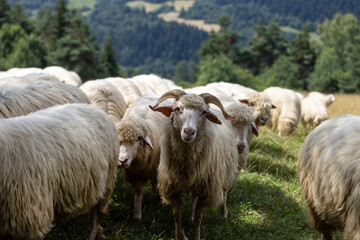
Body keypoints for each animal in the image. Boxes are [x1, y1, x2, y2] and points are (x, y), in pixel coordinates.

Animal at [149, 89, 239, 239]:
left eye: (203, 112)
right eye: (177, 109)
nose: (189, 132)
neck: (187, 160)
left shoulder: (207, 190)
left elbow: (199, 217)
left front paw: (196, 236)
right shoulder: (175, 187)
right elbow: (177, 215)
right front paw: (180, 235)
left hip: (227, 169)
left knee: (225, 192)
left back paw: (223, 214)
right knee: (193, 197)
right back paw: (190, 216)